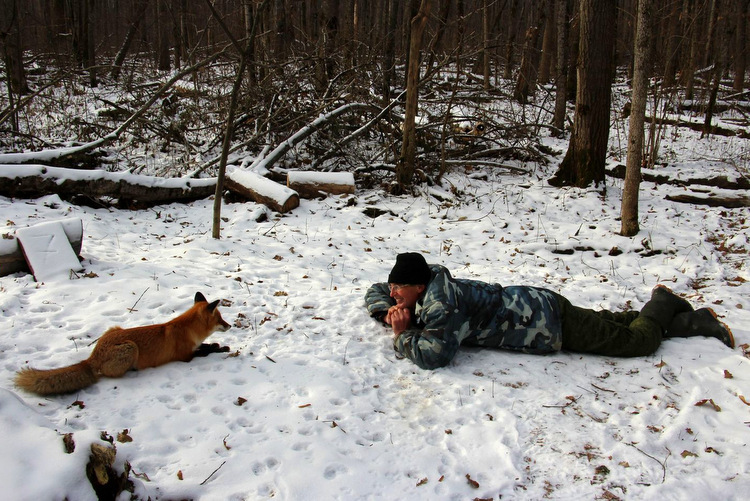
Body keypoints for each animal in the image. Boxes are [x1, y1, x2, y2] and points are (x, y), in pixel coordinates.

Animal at [15, 292, 232, 394]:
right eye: (220, 318)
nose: (230, 326)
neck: (189, 330)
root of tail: (91, 357)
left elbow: (205, 346)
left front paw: (217, 345)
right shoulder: (185, 356)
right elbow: (206, 351)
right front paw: (221, 348)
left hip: (115, 328)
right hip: (130, 347)